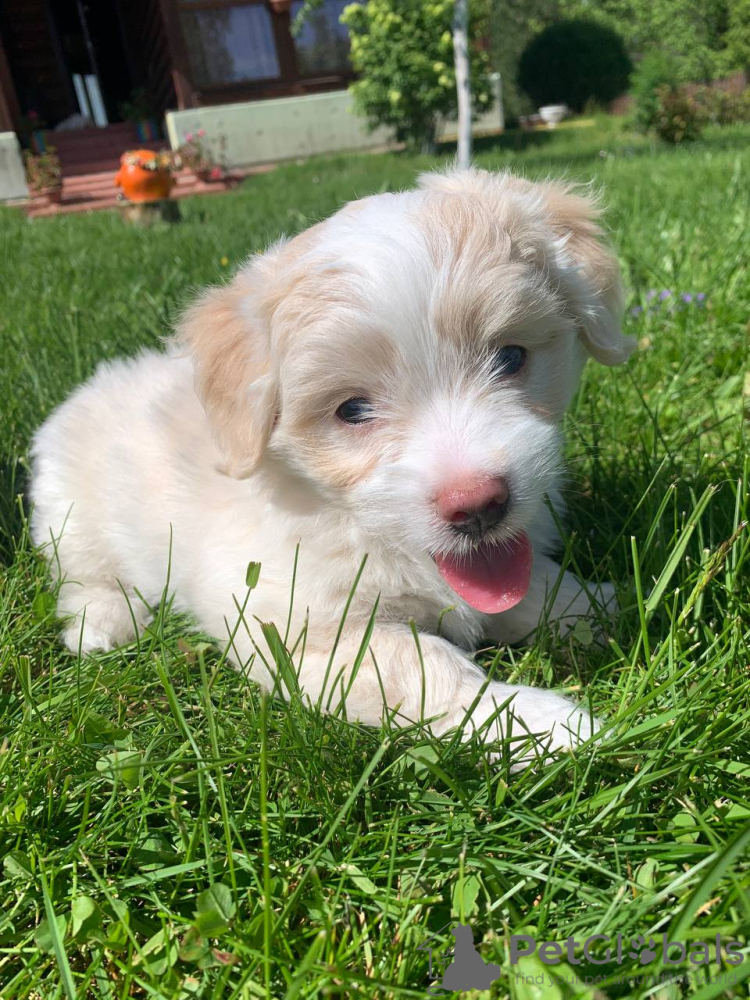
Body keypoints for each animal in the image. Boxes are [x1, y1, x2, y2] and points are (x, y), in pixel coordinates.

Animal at [30, 168, 634, 759]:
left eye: (511, 357)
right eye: (352, 410)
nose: (479, 505)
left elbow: (540, 585)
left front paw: (609, 604)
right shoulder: (307, 635)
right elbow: (428, 670)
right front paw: (547, 725)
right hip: (68, 514)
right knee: (82, 575)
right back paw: (102, 624)